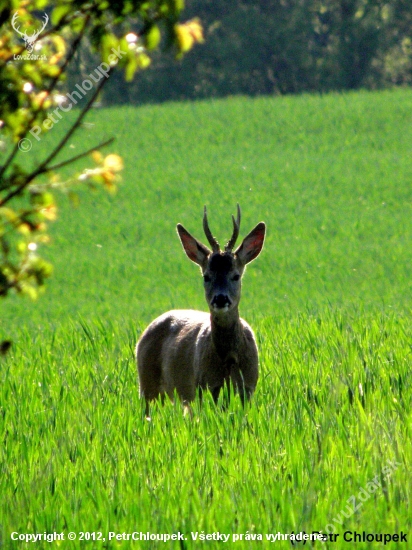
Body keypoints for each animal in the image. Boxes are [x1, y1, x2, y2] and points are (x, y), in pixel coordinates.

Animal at [137, 207, 266, 418]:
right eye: (206, 276)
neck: (228, 359)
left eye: (236, 276)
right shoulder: (203, 386)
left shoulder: (248, 387)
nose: (220, 299)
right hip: (147, 382)